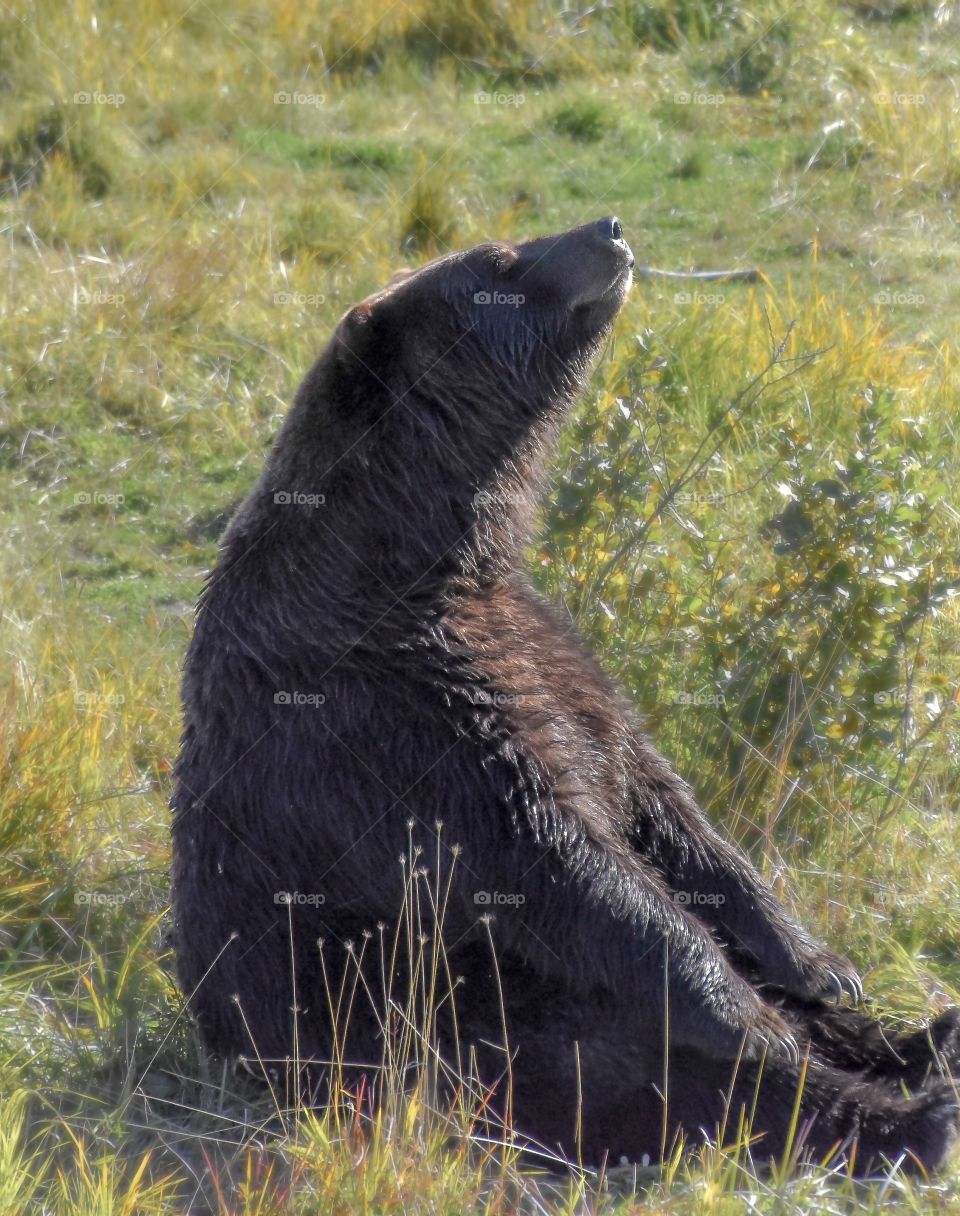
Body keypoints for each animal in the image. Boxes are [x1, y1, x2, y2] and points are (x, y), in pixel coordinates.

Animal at [173, 218, 958, 1177]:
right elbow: (563, 864)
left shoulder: (548, 665)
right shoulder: (386, 722)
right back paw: (908, 1111)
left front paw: (819, 961)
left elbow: (668, 812)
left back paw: (922, 1037)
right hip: (427, 1018)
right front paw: (747, 1018)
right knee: (660, 1079)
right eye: (501, 261)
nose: (608, 229)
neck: (417, 559)